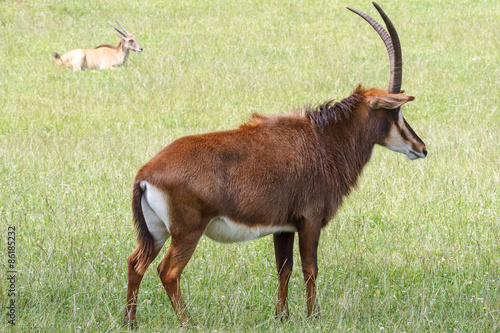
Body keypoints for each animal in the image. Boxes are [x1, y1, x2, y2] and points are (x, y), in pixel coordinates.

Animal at [123, 2, 428, 326]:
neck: (323, 139)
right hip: (186, 232)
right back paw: (189, 323)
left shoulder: (284, 227)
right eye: (395, 111)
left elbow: (285, 268)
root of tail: (145, 174)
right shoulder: (310, 219)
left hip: (156, 232)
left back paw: (130, 321)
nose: (421, 148)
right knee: (168, 271)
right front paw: (313, 317)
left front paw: (282, 316)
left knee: (135, 264)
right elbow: (310, 268)